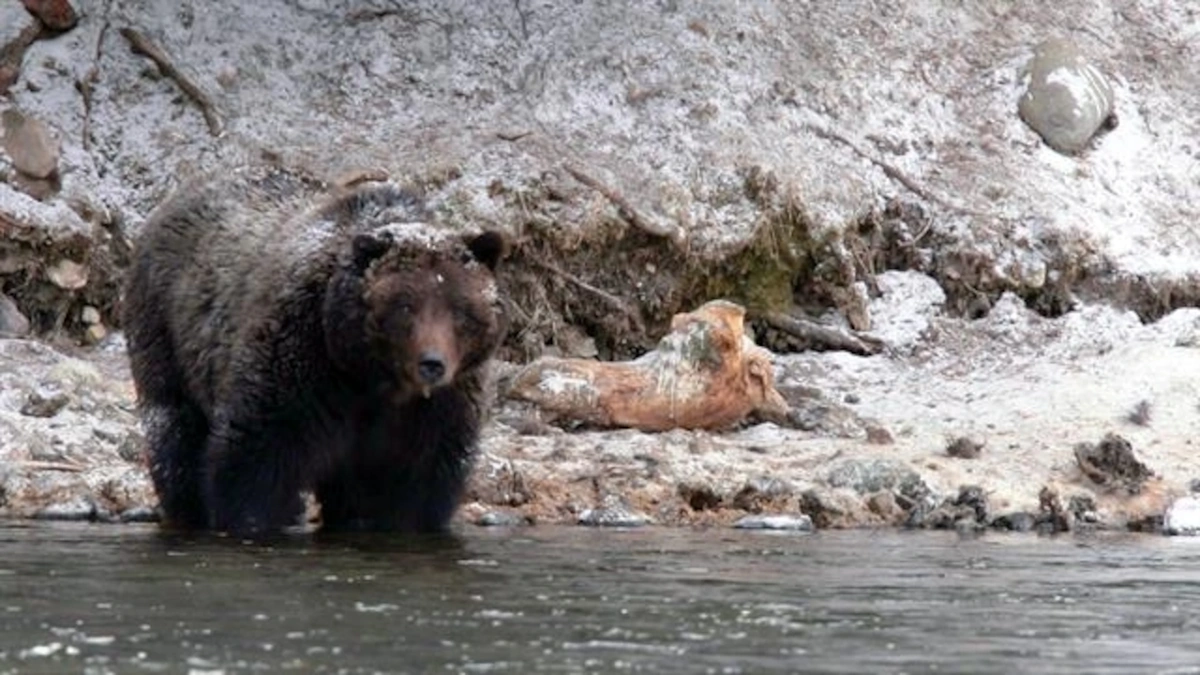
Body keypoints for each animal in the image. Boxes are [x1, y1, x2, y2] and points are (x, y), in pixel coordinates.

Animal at [122, 164, 507, 538]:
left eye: (460, 310)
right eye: (404, 307)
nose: (432, 364)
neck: (373, 377)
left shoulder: (438, 408)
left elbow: (417, 483)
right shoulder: (303, 361)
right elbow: (256, 458)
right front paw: (252, 520)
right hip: (165, 329)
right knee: (174, 428)